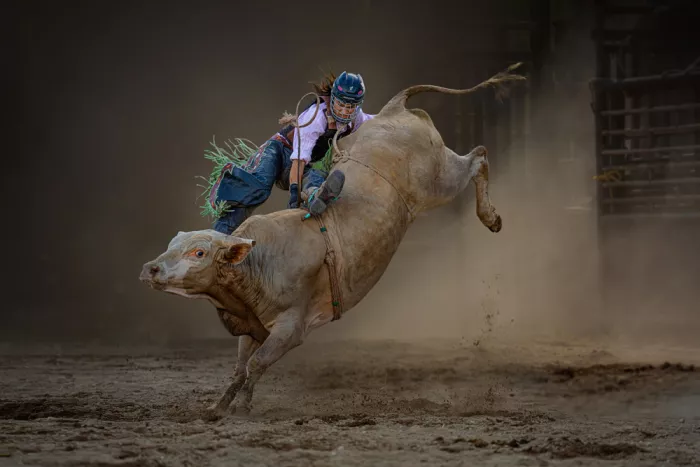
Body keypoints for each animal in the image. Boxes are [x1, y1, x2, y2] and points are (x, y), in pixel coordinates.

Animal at [139, 65, 524, 417]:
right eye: (173, 244)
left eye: (199, 252)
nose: (151, 268)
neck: (257, 262)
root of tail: (392, 110)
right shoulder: (251, 328)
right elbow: (239, 368)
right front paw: (218, 407)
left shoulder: (291, 328)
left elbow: (257, 364)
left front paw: (244, 408)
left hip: (440, 180)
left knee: (478, 157)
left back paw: (491, 217)